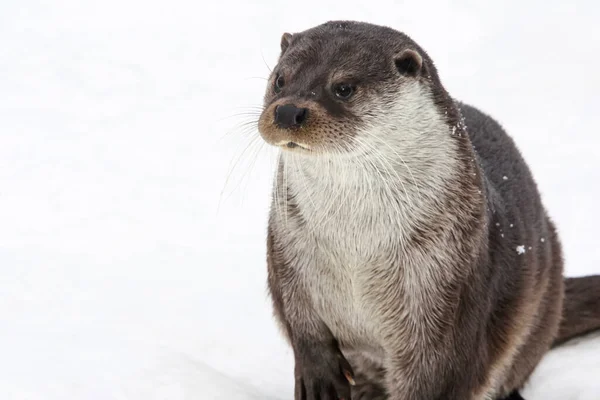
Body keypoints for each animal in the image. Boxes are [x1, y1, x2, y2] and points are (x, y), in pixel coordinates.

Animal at [255, 21, 600, 400]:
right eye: (280, 80)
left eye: (343, 87)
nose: (287, 110)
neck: (357, 248)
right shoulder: (289, 250)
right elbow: (300, 322)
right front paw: (320, 378)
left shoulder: (446, 284)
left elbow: (436, 373)